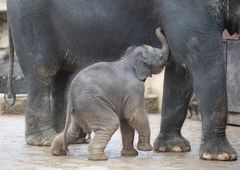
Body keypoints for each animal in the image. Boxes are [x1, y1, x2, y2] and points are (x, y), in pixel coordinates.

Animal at [50, 27, 169, 161]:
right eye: (160, 57)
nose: (160, 28)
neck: (129, 59)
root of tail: (71, 94)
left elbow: (126, 121)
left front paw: (130, 155)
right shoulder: (135, 88)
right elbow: (134, 115)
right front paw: (146, 149)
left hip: (79, 110)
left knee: (75, 131)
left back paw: (56, 152)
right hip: (92, 105)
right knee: (110, 123)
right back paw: (100, 158)